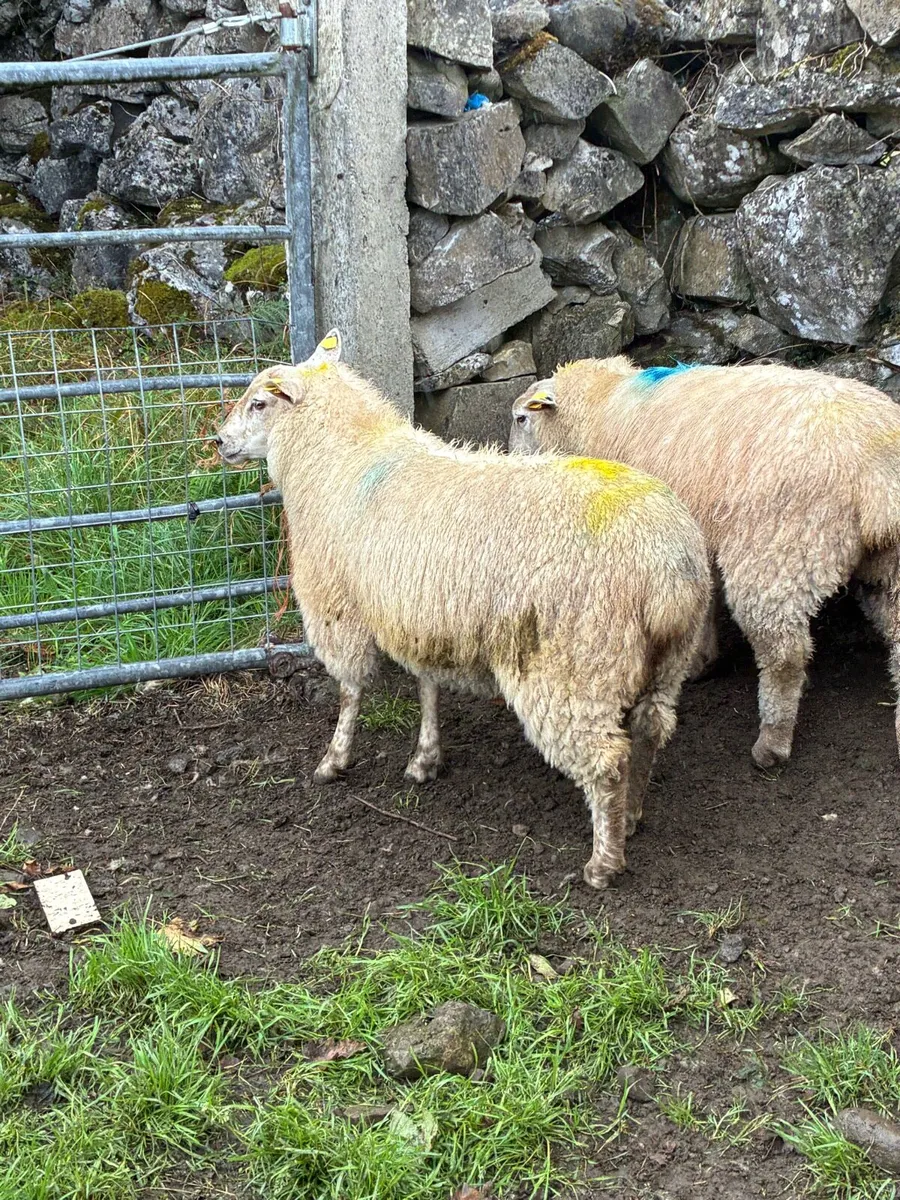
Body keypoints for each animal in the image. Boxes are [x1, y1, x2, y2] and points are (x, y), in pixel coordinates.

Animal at [214, 331, 711, 888]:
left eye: (259, 404)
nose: (217, 442)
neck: (344, 456)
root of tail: (666, 567)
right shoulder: (419, 614)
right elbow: (427, 686)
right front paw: (425, 759)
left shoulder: (338, 607)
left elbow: (350, 692)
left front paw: (334, 760)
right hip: (666, 660)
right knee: (648, 733)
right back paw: (631, 816)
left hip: (575, 668)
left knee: (605, 763)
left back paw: (603, 862)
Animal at [510, 358, 900, 768]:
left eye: (522, 418)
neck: (602, 407)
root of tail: (876, 467)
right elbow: (707, 595)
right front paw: (703, 659)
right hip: (886, 562)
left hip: (779, 550)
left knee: (784, 653)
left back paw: (771, 744)